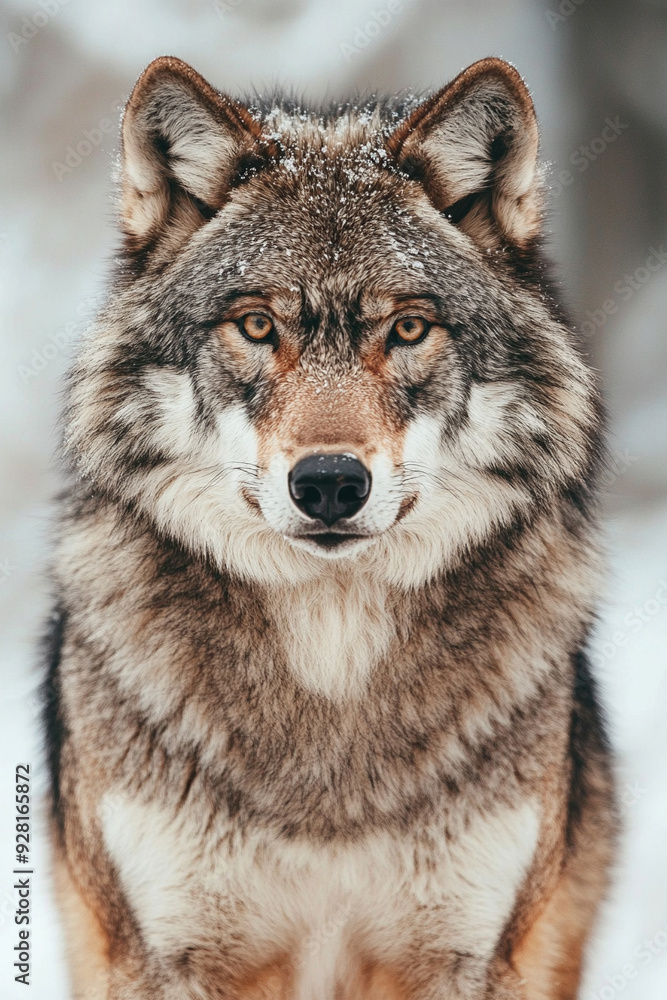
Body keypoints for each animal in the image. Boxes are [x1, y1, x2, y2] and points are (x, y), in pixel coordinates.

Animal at [44, 55, 617, 999]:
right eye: (256, 325)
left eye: (408, 328)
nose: (328, 484)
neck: (331, 643)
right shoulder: (167, 954)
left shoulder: (467, 954)